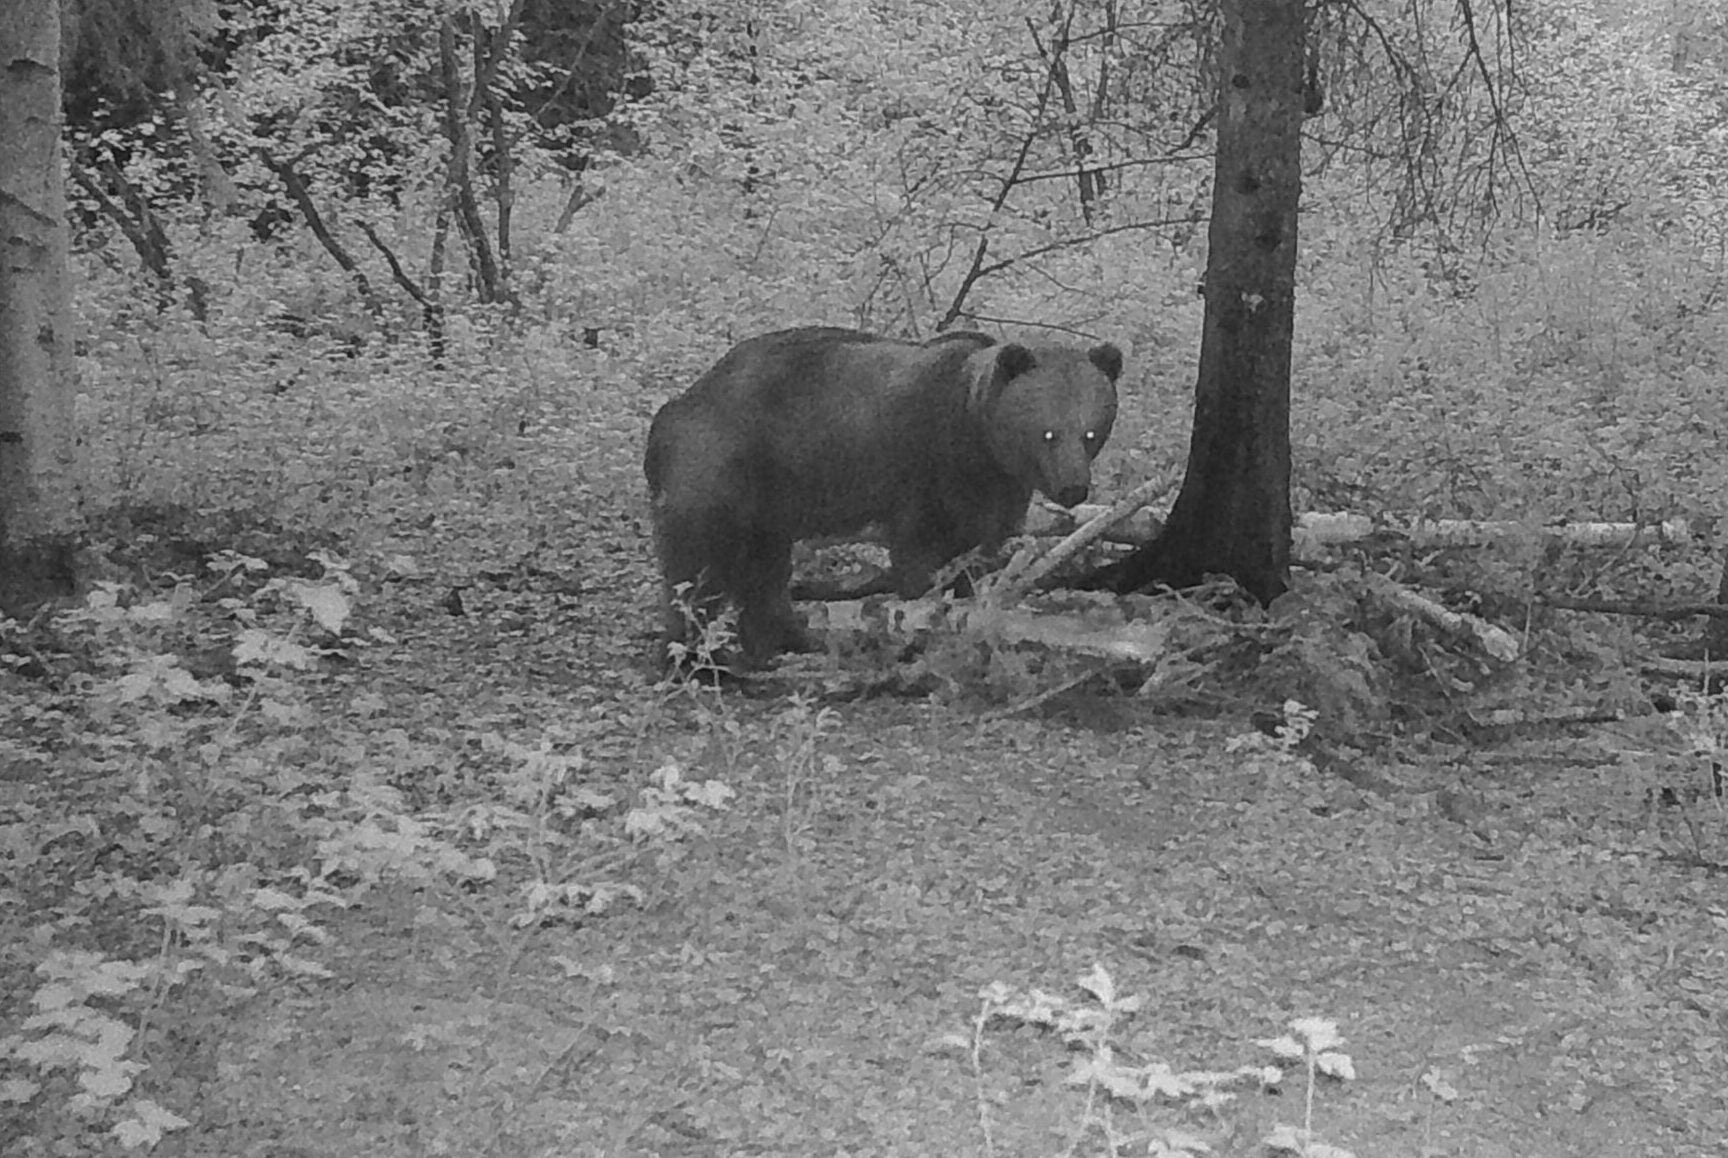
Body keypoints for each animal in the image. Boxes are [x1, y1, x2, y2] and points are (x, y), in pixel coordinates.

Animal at [644, 326, 1124, 666]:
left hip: (769, 500)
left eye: (1090, 432)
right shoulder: (921, 470)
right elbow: (919, 558)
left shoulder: (993, 492)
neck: (978, 440)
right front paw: (921, 624)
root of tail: (674, 409)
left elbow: (979, 551)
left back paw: (784, 641)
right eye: (1048, 433)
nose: (1072, 486)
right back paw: (693, 654)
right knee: (697, 567)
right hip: (721, 469)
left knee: (763, 569)